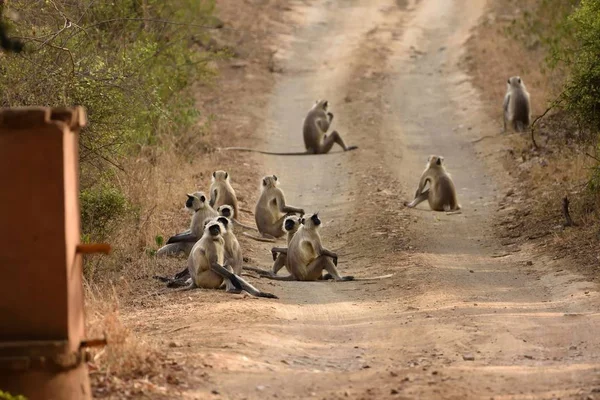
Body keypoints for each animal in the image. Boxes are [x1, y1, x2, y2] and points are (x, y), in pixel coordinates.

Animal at [223, 99, 358, 155]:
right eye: (326, 105)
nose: (328, 107)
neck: (317, 107)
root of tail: (311, 148)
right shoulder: (322, 114)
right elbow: (325, 128)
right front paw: (330, 114)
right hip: (322, 149)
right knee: (334, 134)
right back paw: (347, 149)